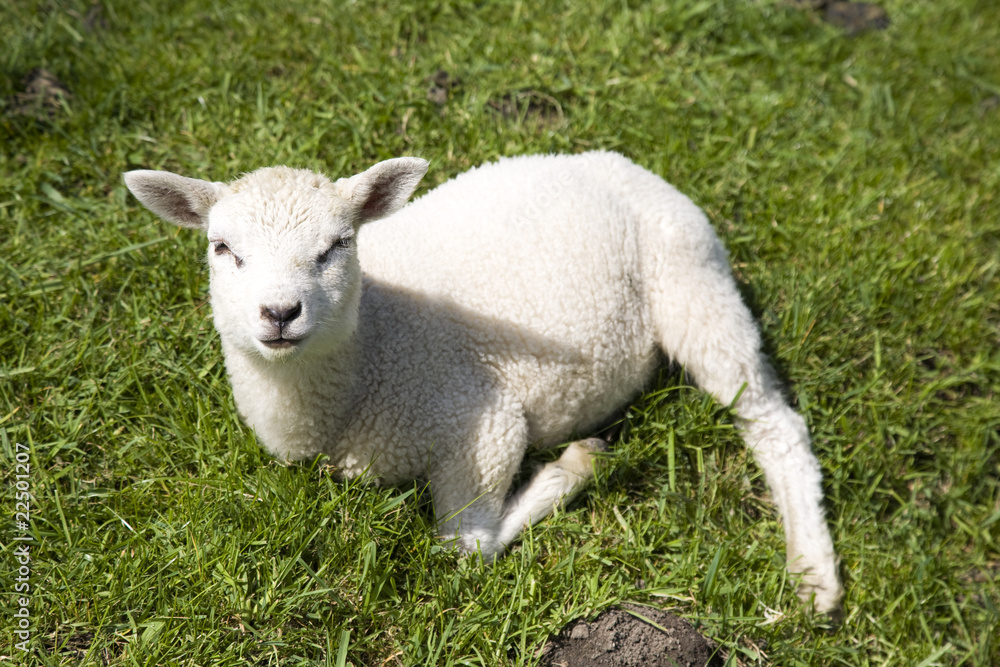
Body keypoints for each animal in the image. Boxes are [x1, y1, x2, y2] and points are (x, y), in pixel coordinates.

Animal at [124, 151, 843, 613]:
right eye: (223, 249)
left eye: (337, 245)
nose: (278, 313)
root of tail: (622, 163)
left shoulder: (483, 422)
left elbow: (465, 552)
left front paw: (573, 467)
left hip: (692, 280)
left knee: (773, 421)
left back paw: (815, 575)